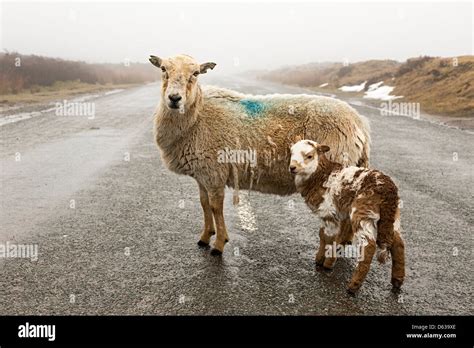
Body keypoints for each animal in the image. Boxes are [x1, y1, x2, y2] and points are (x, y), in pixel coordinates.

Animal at [148, 54, 370, 256]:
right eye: (163, 69)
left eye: (195, 73)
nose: (174, 99)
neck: (197, 116)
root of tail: (360, 124)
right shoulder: (203, 173)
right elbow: (204, 204)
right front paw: (205, 236)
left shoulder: (214, 172)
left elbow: (215, 207)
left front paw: (219, 244)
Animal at [288, 139, 408, 294]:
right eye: (291, 153)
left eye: (309, 156)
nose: (292, 167)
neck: (321, 175)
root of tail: (388, 190)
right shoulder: (335, 215)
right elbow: (325, 236)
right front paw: (325, 259)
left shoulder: (328, 212)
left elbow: (326, 237)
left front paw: (324, 262)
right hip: (392, 217)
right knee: (398, 243)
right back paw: (397, 281)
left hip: (363, 213)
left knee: (369, 246)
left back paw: (353, 286)